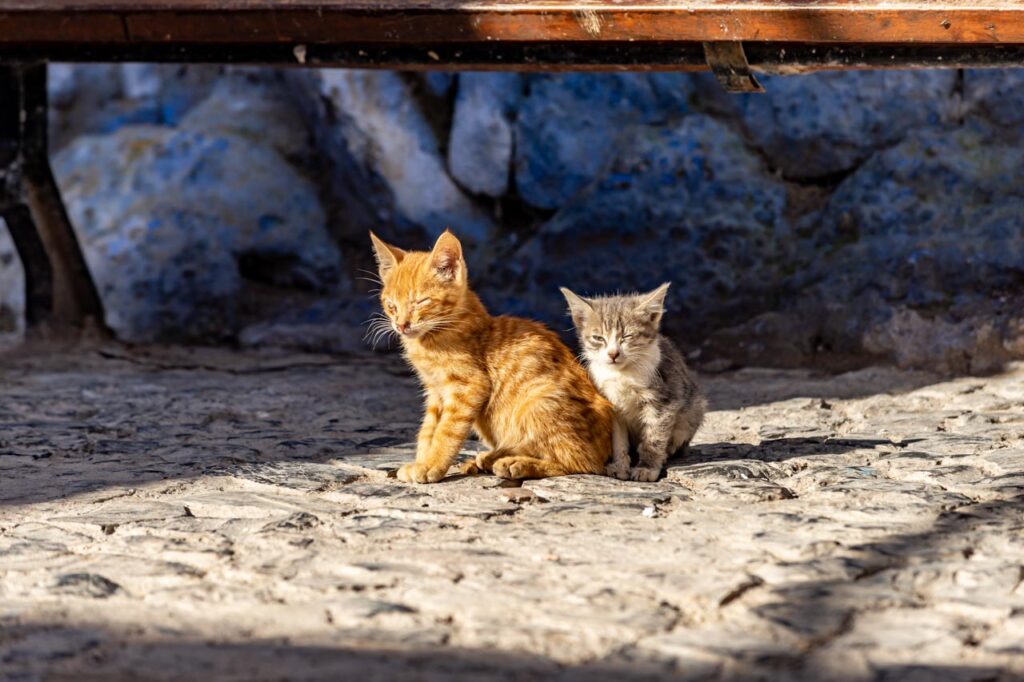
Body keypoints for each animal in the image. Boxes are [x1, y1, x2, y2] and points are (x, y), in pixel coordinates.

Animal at [372, 231, 610, 481]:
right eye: (391, 305)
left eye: (421, 302)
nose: (401, 325)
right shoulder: (435, 392)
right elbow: (428, 430)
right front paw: (422, 460)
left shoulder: (469, 386)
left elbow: (446, 431)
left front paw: (431, 465)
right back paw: (492, 456)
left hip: (537, 402)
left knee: (582, 461)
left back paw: (517, 463)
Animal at [561, 280, 704, 477]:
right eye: (598, 338)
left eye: (627, 336)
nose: (613, 354)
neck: (622, 374)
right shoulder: (610, 404)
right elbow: (617, 439)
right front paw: (619, 465)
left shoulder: (663, 400)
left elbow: (654, 436)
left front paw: (647, 467)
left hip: (694, 408)